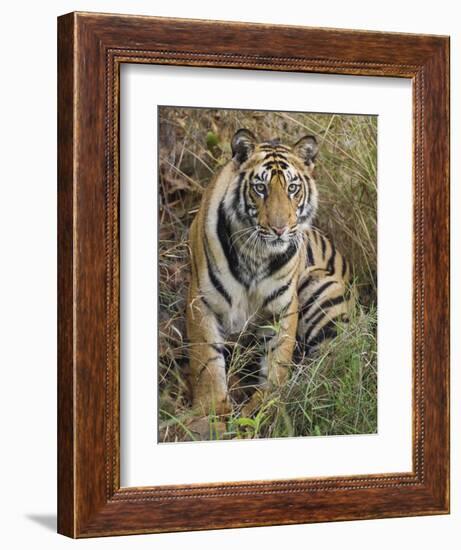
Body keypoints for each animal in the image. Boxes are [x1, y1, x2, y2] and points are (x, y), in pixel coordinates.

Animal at [185, 127, 350, 416]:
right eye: (260, 188)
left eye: (292, 188)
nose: (279, 229)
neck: (256, 254)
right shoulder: (201, 300)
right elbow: (207, 361)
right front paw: (210, 411)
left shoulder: (283, 308)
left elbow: (277, 361)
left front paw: (267, 407)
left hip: (322, 289)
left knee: (330, 365)